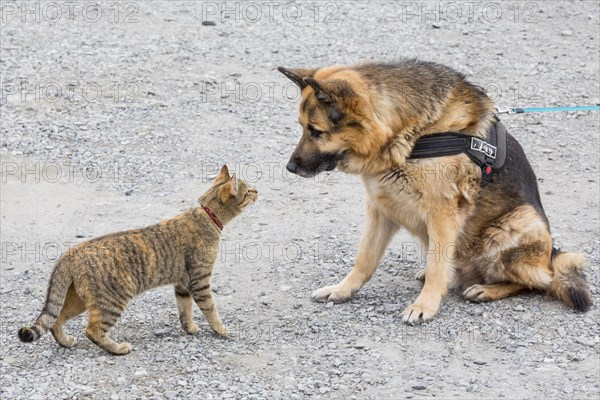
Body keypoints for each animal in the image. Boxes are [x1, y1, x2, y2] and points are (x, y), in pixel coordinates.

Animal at [17, 164, 256, 354]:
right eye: (249, 191)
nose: (258, 190)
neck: (207, 215)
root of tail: (71, 252)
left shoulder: (182, 284)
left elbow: (185, 310)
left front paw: (189, 328)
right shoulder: (200, 281)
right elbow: (211, 310)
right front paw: (222, 330)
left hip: (79, 300)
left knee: (56, 319)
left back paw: (66, 341)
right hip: (114, 298)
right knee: (92, 330)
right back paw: (118, 349)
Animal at [278, 59, 592, 324]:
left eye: (315, 131)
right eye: (302, 128)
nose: (290, 167)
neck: (412, 131)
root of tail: (550, 254)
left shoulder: (441, 215)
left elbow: (438, 265)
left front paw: (425, 305)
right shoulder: (380, 209)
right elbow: (364, 259)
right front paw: (343, 290)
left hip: (516, 223)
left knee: (540, 281)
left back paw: (486, 289)